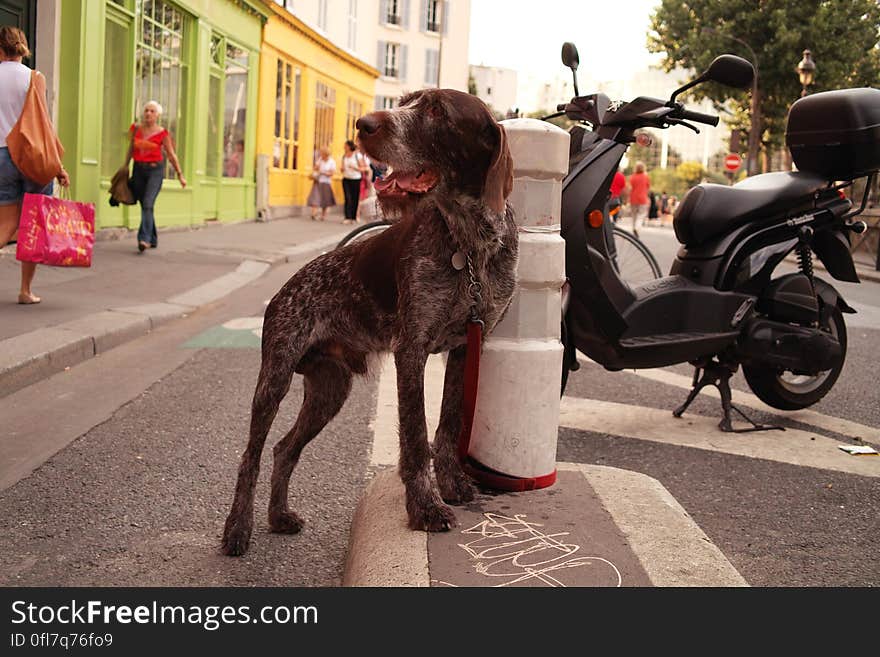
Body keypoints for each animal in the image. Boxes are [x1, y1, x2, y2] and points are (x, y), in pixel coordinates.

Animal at [220, 89, 520, 556]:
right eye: (406, 100)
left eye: (437, 110)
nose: (364, 124)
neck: (469, 245)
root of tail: (286, 287)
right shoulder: (411, 351)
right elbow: (415, 439)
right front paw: (425, 508)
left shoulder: (466, 346)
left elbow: (449, 425)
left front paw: (453, 485)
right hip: (275, 379)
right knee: (250, 456)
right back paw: (238, 528)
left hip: (330, 390)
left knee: (284, 449)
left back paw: (279, 516)